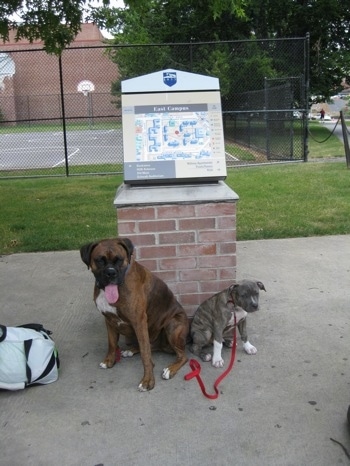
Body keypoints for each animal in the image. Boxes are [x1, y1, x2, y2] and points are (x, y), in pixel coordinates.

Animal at [80, 238, 189, 392]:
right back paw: (130, 351)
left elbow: (145, 354)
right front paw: (109, 361)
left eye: (119, 260)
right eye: (100, 260)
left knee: (182, 356)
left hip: (172, 324)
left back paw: (170, 369)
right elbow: (112, 343)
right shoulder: (109, 320)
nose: (110, 273)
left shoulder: (139, 321)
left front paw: (148, 380)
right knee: (152, 346)